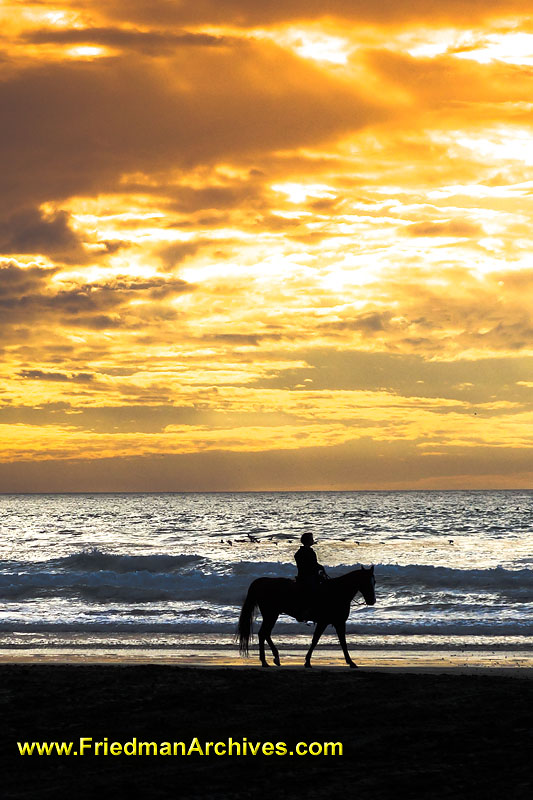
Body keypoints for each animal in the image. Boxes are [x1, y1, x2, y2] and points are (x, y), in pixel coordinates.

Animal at [237, 564, 374, 668]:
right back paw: (266, 661)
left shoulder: (335, 622)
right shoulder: (329, 622)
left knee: (265, 634)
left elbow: (337, 642)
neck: (337, 592)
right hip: (271, 615)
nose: (372, 600)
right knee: (263, 634)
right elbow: (320, 641)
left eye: (374, 581)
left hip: (271, 615)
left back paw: (274, 658)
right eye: (367, 582)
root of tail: (261, 582)